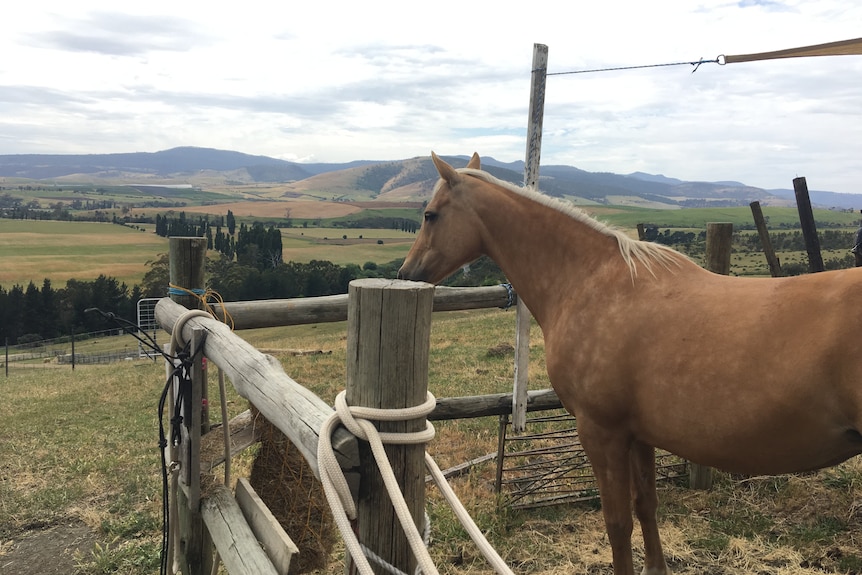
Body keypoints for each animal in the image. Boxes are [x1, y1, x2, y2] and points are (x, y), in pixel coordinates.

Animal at [398, 151, 862, 572]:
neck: (592, 281)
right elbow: (646, 505)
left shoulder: (601, 433)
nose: (406, 274)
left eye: (430, 215)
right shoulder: (639, 435)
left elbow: (618, 523)